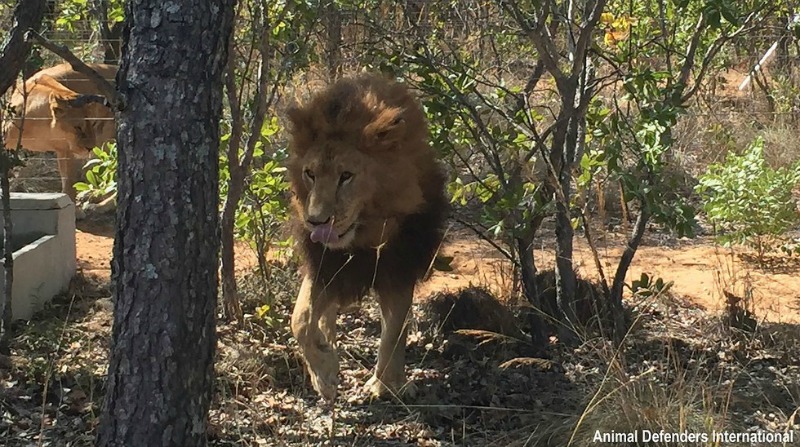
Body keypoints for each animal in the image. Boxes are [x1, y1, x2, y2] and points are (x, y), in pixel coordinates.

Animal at [288, 74, 450, 402]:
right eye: (310, 174)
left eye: (346, 176)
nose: (316, 221)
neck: (364, 234)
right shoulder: (324, 265)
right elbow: (300, 319)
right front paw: (324, 374)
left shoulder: (398, 265)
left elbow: (395, 329)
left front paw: (385, 384)